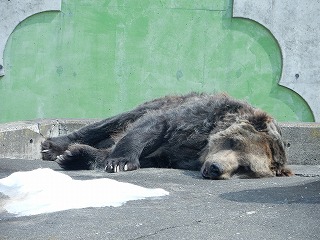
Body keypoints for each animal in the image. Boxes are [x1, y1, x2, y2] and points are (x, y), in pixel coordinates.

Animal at [40, 93, 292, 179]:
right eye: (234, 142)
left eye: (244, 167)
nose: (215, 168)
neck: (201, 146)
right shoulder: (195, 118)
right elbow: (152, 126)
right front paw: (120, 161)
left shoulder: (176, 155)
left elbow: (152, 156)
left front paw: (78, 156)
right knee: (112, 122)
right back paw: (53, 146)